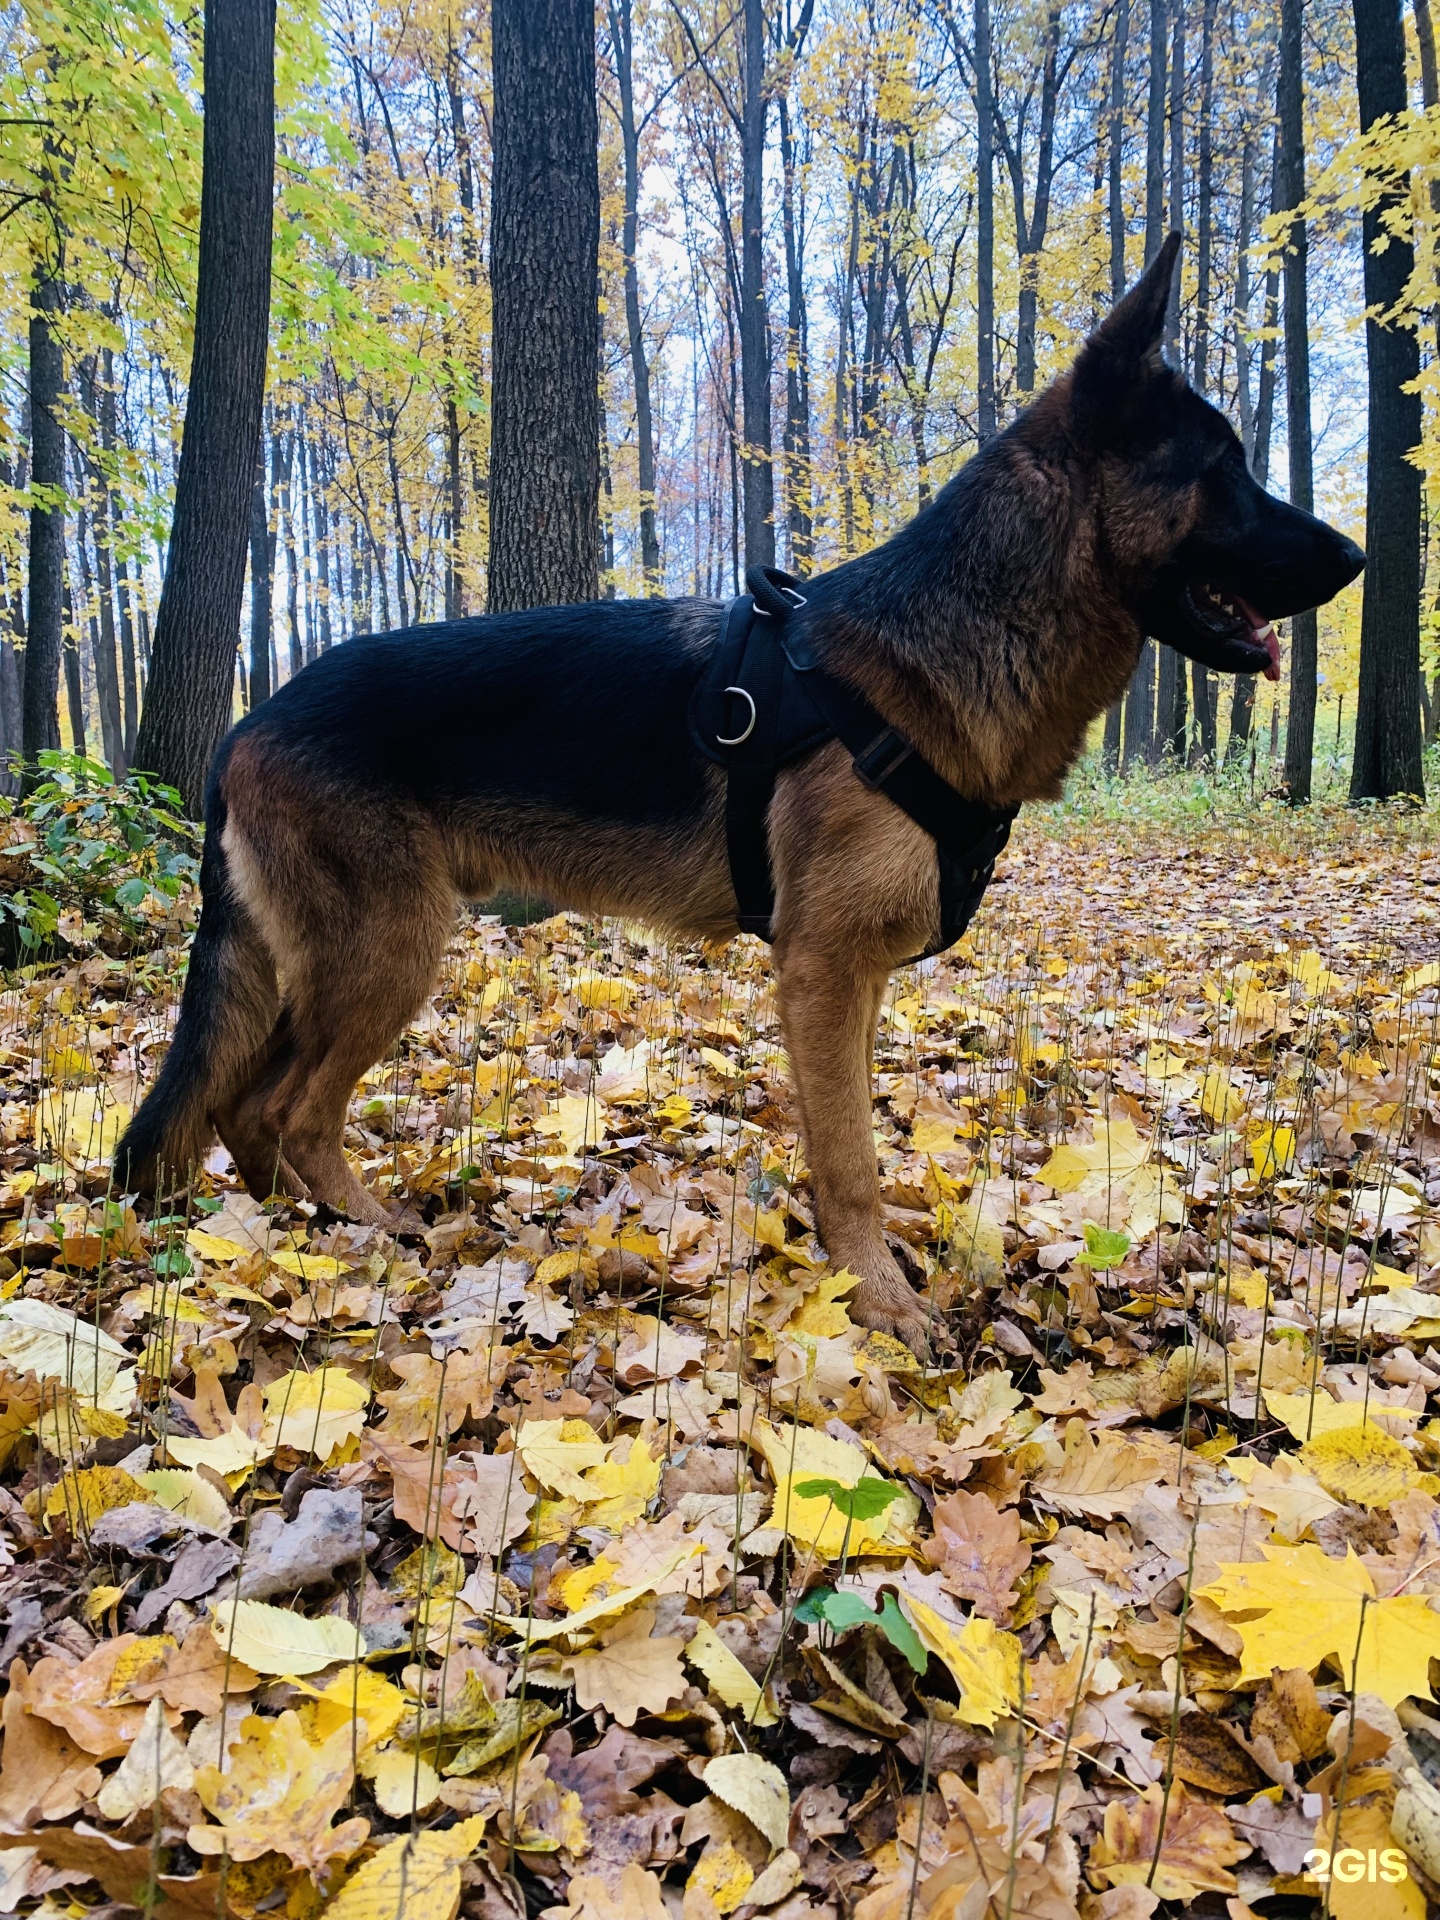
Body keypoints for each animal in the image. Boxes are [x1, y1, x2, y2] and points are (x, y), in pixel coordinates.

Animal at [115, 240, 1367, 1351]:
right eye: (1226, 469)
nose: (1359, 558)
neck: (946, 647)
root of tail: (247, 721)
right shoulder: (820, 971)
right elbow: (847, 1160)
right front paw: (879, 1303)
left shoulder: (855, 984)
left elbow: (853, 1142)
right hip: (388, 952)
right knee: (285, 1108)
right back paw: (363, 1234)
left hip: (336, 960)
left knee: (243, 1106)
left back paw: (291, 1243)